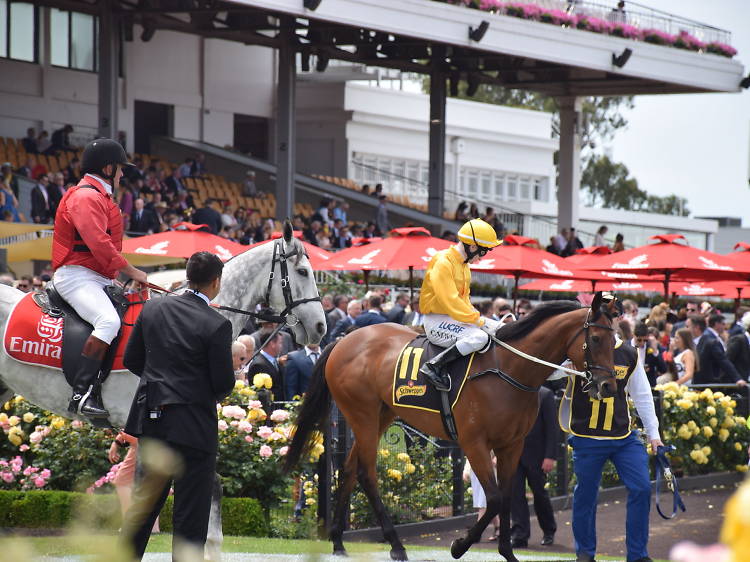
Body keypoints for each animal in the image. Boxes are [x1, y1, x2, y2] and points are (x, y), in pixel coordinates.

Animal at [284, 290, 620, 556]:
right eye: (596, 338)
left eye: (614, 340)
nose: (608, 387)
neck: (508, 370)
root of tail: (343, 341)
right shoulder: (474, 443)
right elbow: (494, 499)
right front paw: (460, 545)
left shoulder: (512, 445)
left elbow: (507, 497)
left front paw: (507, 552)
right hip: (362, 415)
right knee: (367, 474)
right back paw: (396, 545)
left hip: (381, 415)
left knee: (349, 469)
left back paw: (339, 542)